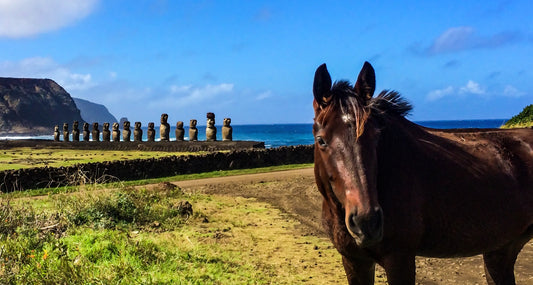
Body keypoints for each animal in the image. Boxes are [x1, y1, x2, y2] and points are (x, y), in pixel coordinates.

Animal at [312, 61, 532, 282]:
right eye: (321, 140)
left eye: (376, 136)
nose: (366, 222)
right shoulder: (354, 261)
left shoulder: (400, 259)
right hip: (501, 250)